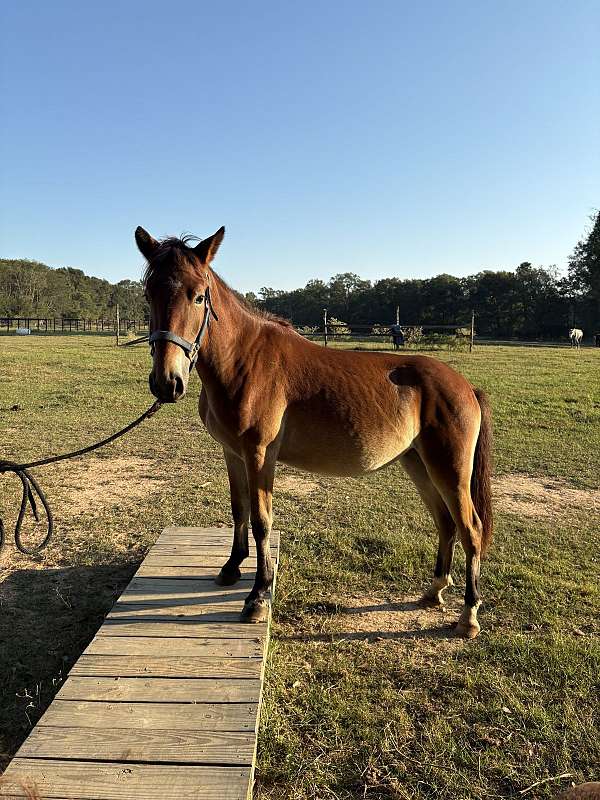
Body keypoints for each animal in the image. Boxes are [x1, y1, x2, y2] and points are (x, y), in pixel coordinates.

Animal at [137, 225, 493, 639]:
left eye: (198, 296)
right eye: (149, 294)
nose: (167, 383)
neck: (244, 360)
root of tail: (466, 386)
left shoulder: (259, 455)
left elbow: (261, 521)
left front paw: (258, 596)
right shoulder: (232, 452)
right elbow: (238, 510)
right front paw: (230, 568)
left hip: (450, 470)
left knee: (470, 528)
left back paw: (468, 615)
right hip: (418, 463)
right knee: (446, 523)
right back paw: (434, 591)